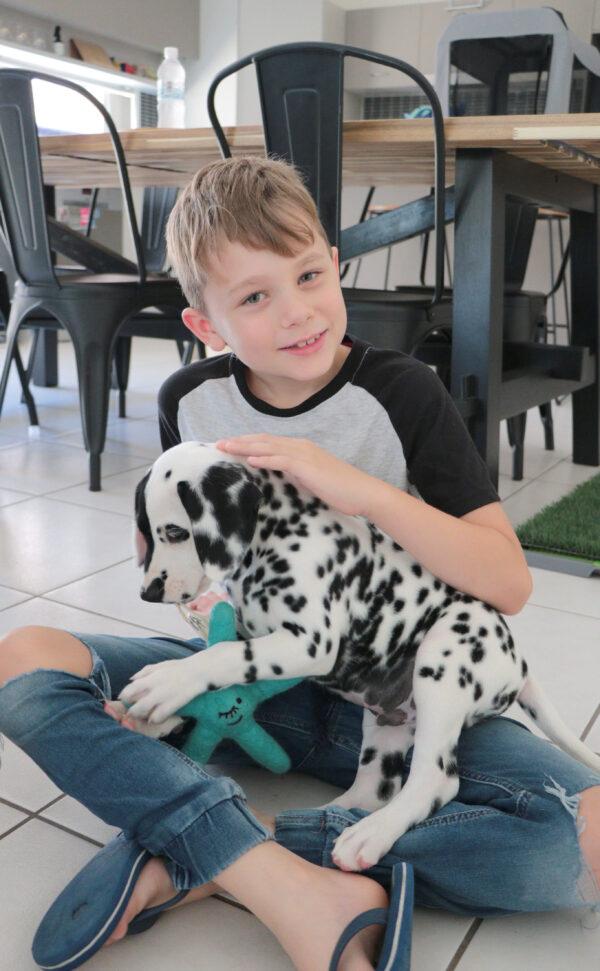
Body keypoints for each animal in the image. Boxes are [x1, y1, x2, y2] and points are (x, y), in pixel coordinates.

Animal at [122, 440, 600, 872]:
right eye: (145, 530)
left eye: (175, 532)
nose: (146, 593)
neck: (282, 534)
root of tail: (518, 663)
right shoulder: (254, 632)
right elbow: (226, 662)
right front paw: (161, 715)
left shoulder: (308, 641)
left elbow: (223, 655)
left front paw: (164, 684)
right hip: (388, 722)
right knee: (375, 791)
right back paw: (326, 822)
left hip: (446, 657)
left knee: (435, 781)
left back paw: (367, 836)